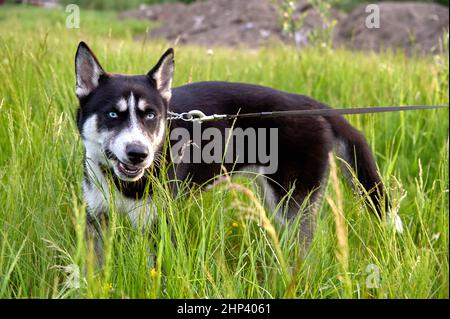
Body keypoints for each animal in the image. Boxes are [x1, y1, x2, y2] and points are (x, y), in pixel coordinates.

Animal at [75, 42, 402, 262]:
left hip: (292, 204)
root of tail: (312, 105)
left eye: (151, 116)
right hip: (273, 198)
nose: (138, 153)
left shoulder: (158, 225)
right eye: (113, 114)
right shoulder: (97, 220)